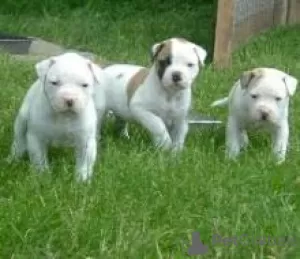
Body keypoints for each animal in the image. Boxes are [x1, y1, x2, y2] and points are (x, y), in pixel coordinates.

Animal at [9, 52, 106, 182]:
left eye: (84, 85)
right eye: (54, 83)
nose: (69, 99)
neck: (64, 117)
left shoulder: (85, 141)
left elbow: (83, 163)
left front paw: (82, 180)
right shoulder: (36, 138)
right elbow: (39, 159)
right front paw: (42, 177)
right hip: (22, 118)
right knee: (19, 141)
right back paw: (13, 158)